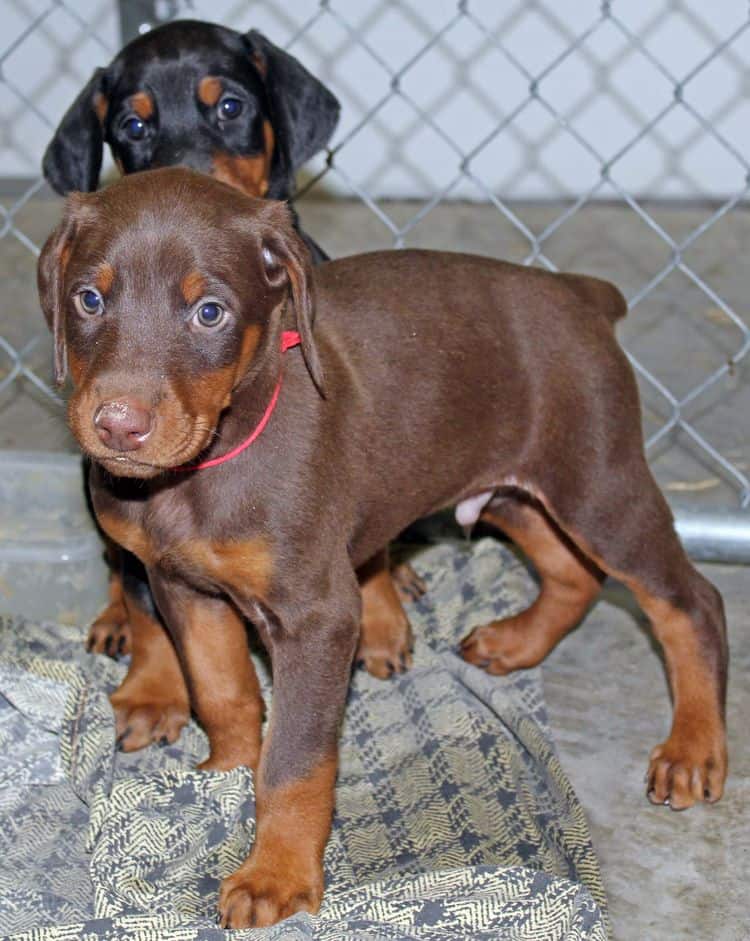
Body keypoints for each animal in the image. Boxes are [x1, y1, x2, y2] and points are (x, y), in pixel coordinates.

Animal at [38, 167, 732, 924]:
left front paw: (275, 874)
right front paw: (222, 779)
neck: (211, 461)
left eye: (211, 313)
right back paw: (514, 642)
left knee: (689, 601)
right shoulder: (183, 588)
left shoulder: (317, 614)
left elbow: (296, 758)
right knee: (572, 573)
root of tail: (581, 294)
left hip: (597, 483)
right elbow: (223, 692)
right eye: (89, 298)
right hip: (512, 489)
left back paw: (695, 747)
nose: (118, 425)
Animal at [44, 18, 424, 680]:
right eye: (133, 126)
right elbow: (148, 600)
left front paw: (381, 622)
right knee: (117, 566)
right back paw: (114, 618)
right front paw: (154, 686)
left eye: (230, 107)